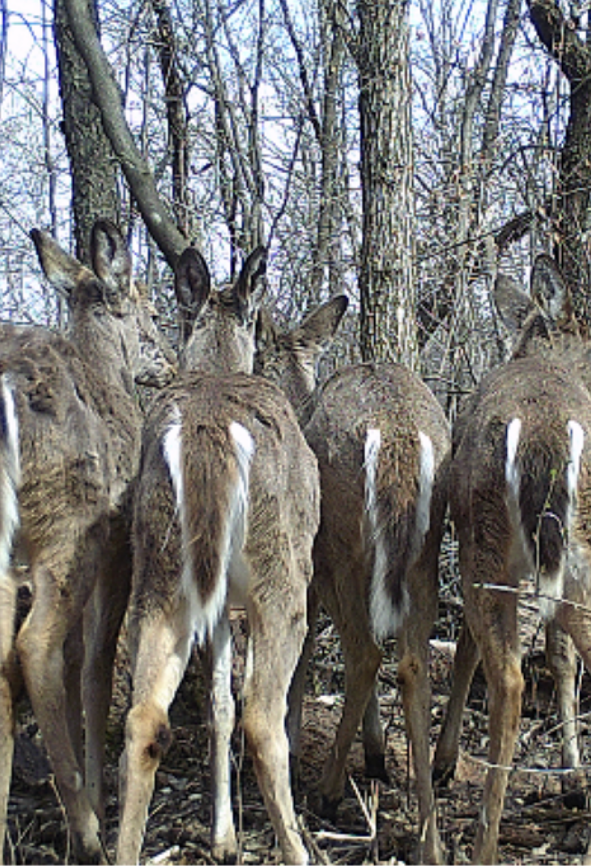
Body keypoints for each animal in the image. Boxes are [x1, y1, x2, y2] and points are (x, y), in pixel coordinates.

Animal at [0, 220, 177, 864]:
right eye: (150, 311)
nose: (167, 360)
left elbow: (77, 654)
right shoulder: (116, 539)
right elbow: (95, 659)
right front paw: (100, 794)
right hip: (67, 524)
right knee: (34, 648)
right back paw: (86, 829)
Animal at [115, 245, 321, 865]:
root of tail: (207, 431)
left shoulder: (222, 605)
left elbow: (217, 706)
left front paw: (223, 837)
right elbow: (236, 705)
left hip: (159, 571)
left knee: (144, 719)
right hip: (282, 574)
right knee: (263, 718)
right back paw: (299, 848)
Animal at [255, 301, 451, 864]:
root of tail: (399, 439)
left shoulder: (309, 565)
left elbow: (302, 658)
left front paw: (295, 742)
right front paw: (378, 753)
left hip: (341, 546)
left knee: (365, 652)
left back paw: (327, 791)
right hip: (424, 553)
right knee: (411, 663)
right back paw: (429, 836)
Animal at [430, 253, 591, 864]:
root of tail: (546, 438)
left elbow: (465, 653)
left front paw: (443, 761)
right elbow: (563, 658)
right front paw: (572, 774)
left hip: (488, 546)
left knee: (509, 679)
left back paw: (482, 839)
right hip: (572, 547)